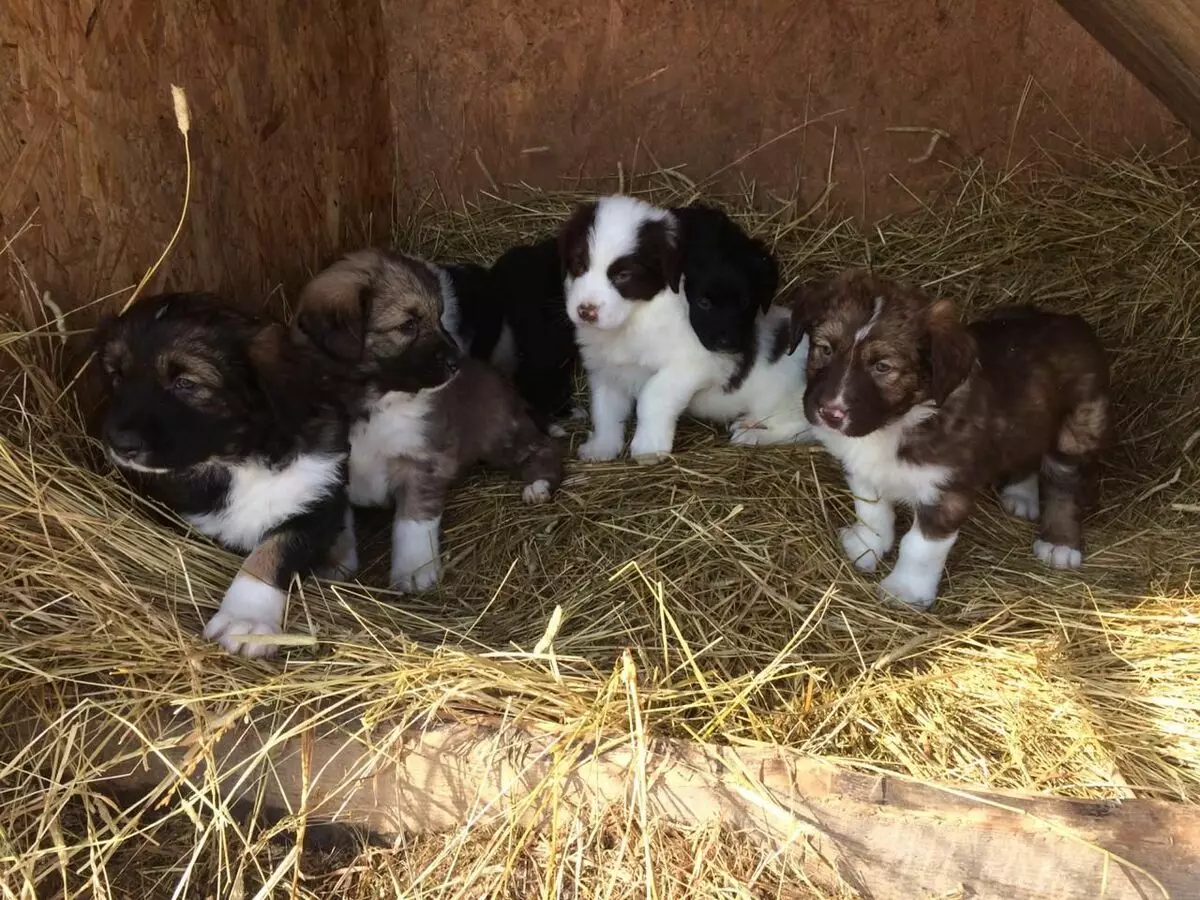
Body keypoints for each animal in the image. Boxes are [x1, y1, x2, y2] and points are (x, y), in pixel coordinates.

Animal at [95, 292, 350, 657]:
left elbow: (273, 551)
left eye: (186, 383)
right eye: (117, 376)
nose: (119, 444)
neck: (238, 459)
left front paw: (247, 621)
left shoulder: (316, 498)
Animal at [297, 250, 564, 595]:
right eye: (408, 324)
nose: (457, 362)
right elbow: (338, 525)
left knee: (543, 447)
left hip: (500, 432)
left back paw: (538, 485)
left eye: (440, 317)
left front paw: (414, 572)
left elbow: (412, 524)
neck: (374, 401)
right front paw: (334, 566)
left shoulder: (422, 462)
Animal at [556, 196, 811, 465]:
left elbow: (653, 394)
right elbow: (605, 411)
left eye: (624, 275)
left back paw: (754, 435)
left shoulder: (696, 364)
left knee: (800, 428)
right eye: (579, 264)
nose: (586, 311)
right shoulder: (606, 372)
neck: (633, 320)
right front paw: (602, 447)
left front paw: (649, 447)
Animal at [787, 273, 1113, 614]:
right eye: (825, 349)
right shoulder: (862, 469)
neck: (895, 423)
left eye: (883, 367)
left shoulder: (946, 491)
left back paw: (1059, 543)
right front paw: (865, 545)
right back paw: (1020, 494)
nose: (830, 413)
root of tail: (1071, 321)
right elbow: (871, 511)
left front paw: (905, 590)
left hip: (1079, 426)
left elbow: (919, 546)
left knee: (1065, 482)